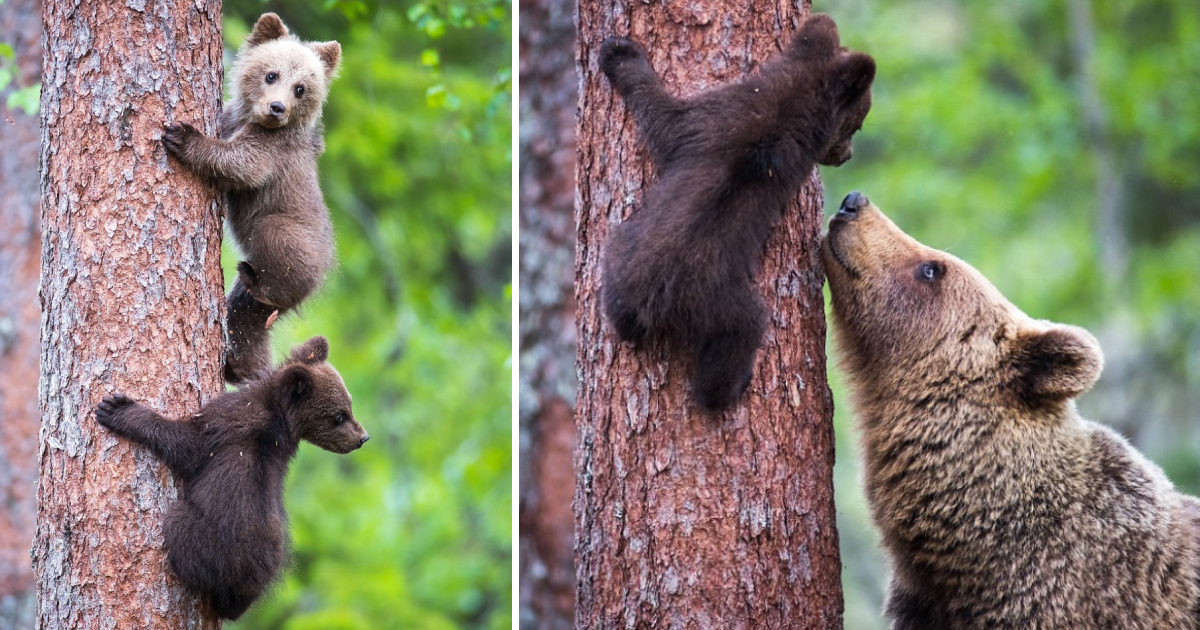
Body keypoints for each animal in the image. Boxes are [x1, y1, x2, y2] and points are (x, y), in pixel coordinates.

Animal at [94, 336, 364, 614]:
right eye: (342, 413)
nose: (362, 438)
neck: (274, 407)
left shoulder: (226, 423)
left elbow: (186, 443)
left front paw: (117, 408)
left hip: (206, 537)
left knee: (179, 529)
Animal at [162, 13, 340, 384]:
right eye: (271, 74)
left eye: (301, 88)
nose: (277, 107)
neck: (251, 119)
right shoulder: (233, 118)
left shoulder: (272, 149)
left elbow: (241, 164)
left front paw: (182, 136)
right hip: (254, 307)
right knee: (246, 319)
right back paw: (241, 367)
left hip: (296, 243)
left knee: (273, 239)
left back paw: (258, 284)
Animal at [597, 13, 873, 412]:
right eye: (857, 124)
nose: (846, 156)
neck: (796, 94)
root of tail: (652, 303)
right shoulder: (724, 113)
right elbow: (666, 119)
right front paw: (619, 51)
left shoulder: (715, 118)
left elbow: (666, 120)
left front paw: (619, 52)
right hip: (630, 257)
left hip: (711, 299)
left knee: (743, 331)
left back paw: (727, 388)